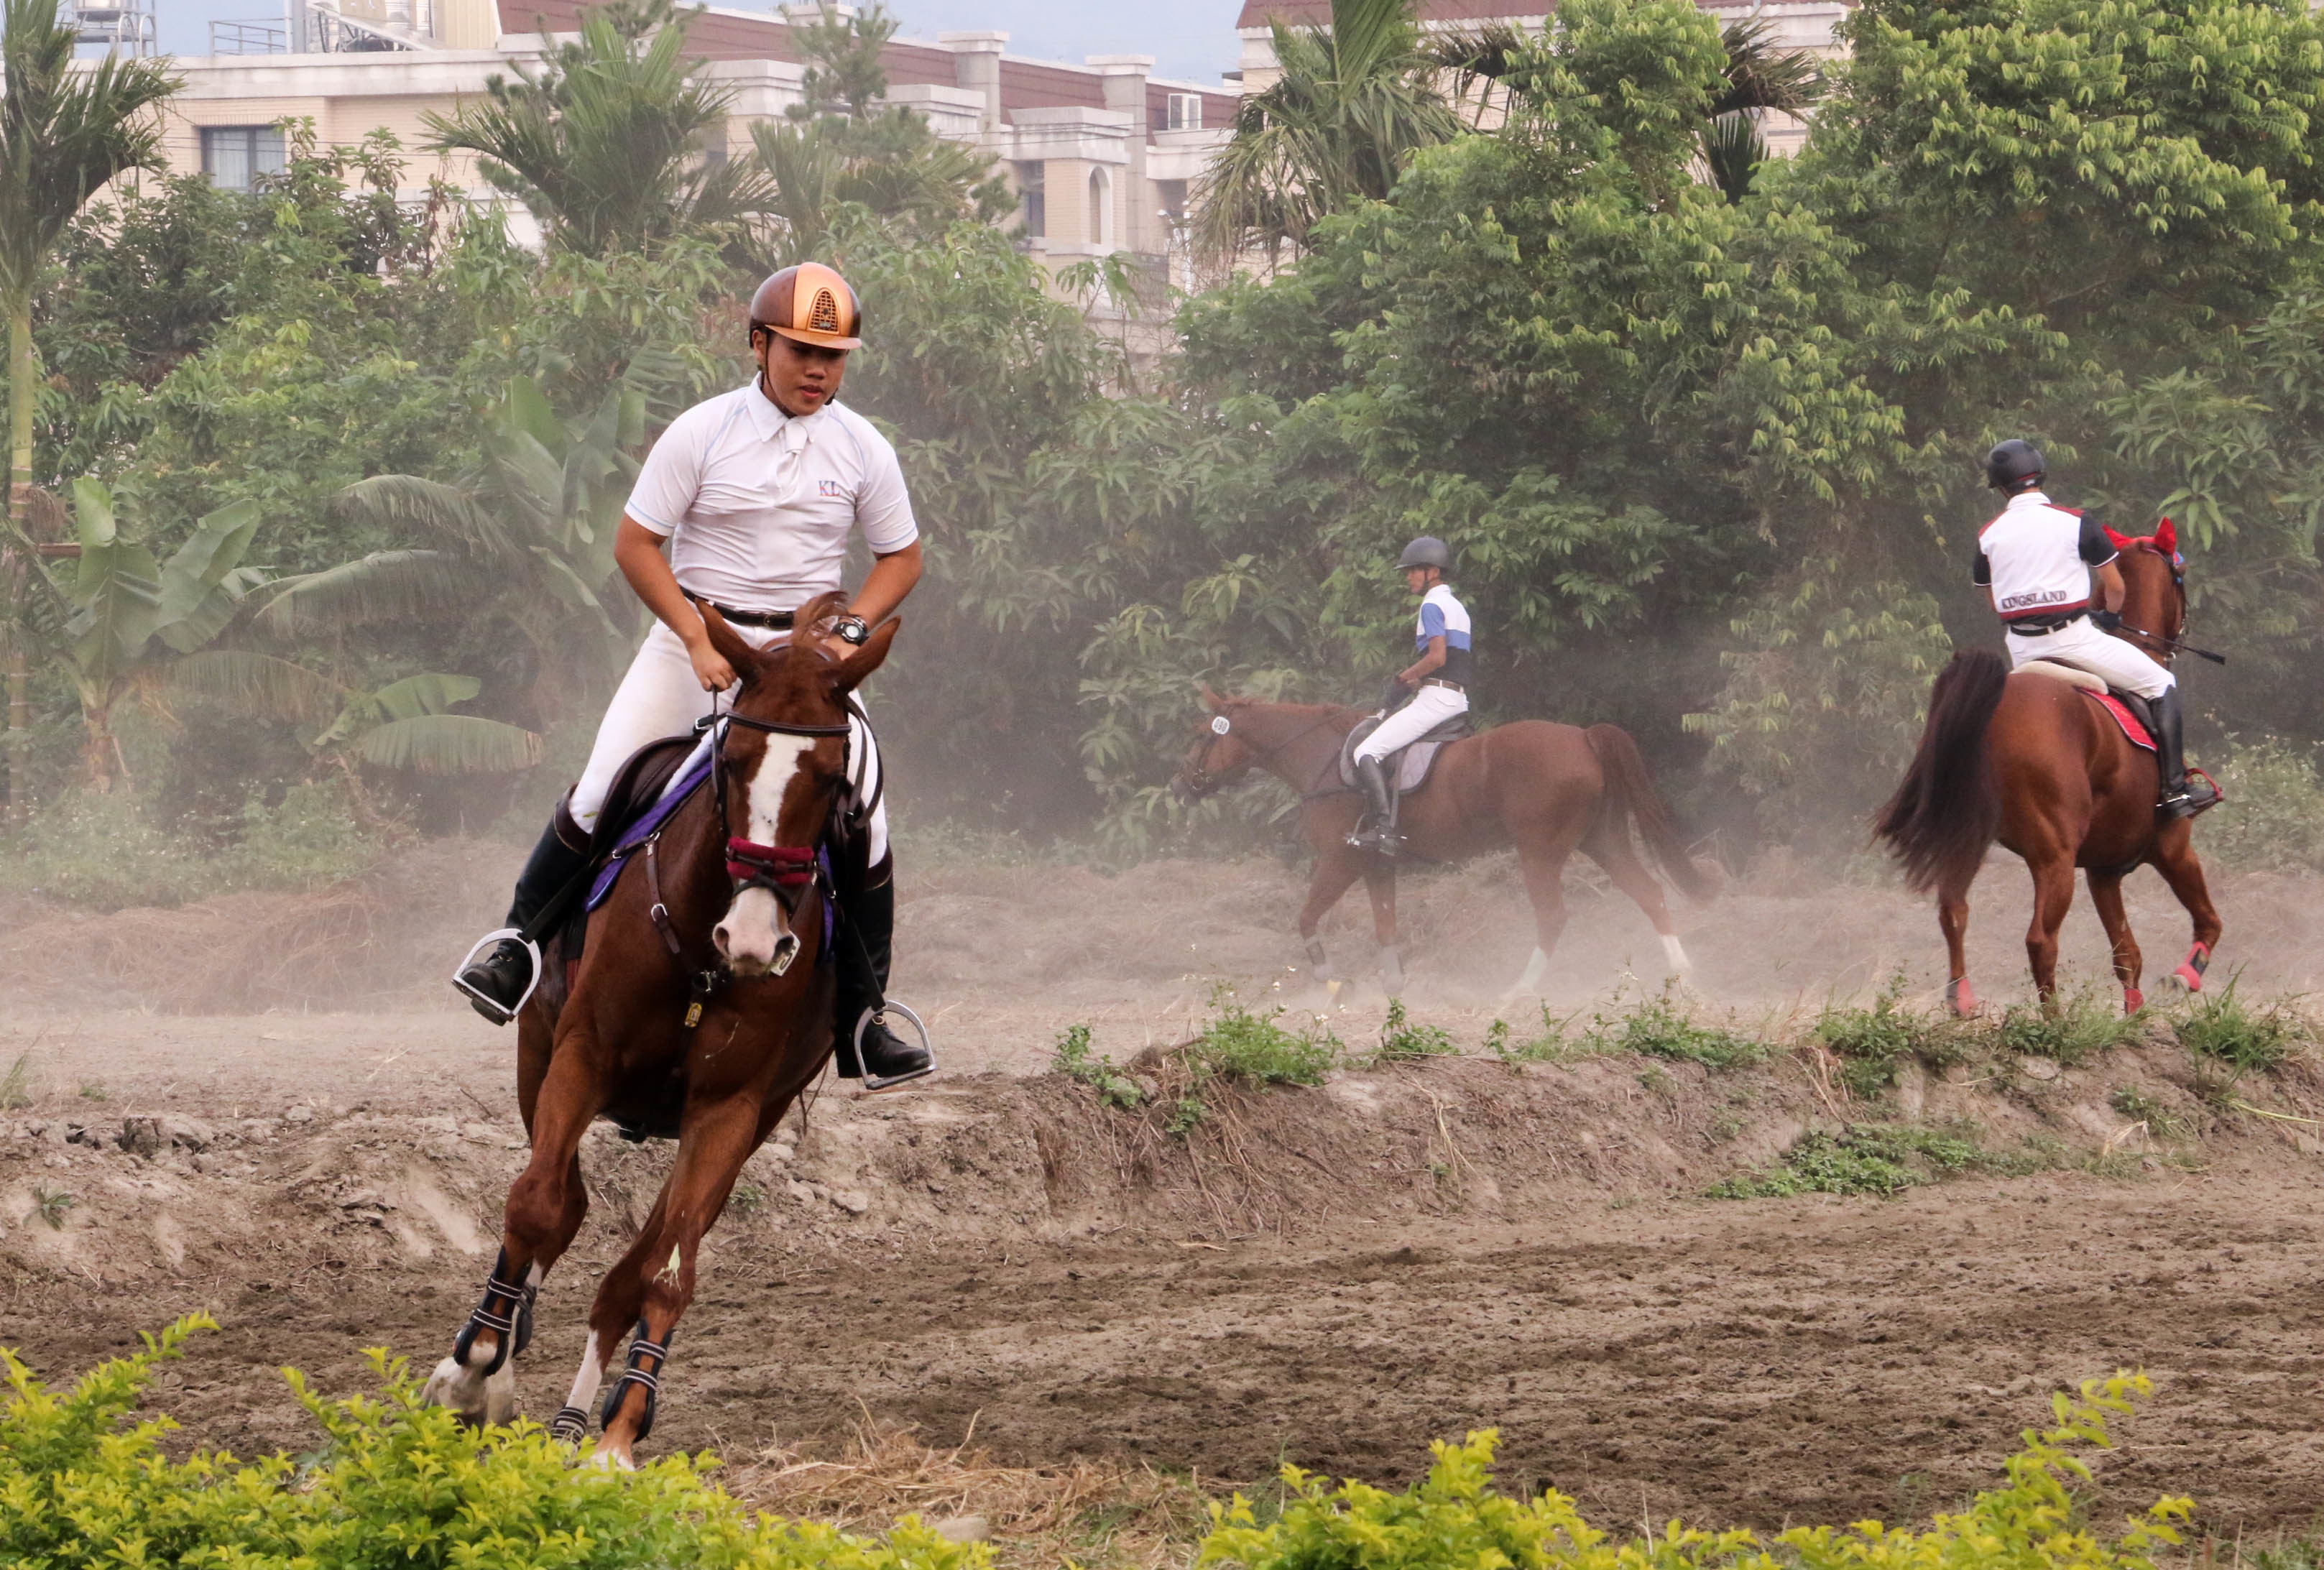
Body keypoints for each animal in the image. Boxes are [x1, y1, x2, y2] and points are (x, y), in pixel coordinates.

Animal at [413, 594, 892, 1467]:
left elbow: (667, 1273)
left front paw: (619, 1437)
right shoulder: (581, 1055)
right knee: (561, 1205)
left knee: (628, 1273)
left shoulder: (730, 1110)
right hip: (538, 1058)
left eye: (832, 779)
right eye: (734, 761)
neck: (703, 948)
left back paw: (578, 1421)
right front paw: (471, 1376)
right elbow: (535, 1207)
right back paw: (500, 1354)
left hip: (746, 1119)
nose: (752, 940)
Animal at [1171, 692, 1720, 998]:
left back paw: (1520, 990)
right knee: (1649, 893)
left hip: (1539, 852)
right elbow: (1386, 925)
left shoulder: (1341, 859)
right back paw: (1683, 976)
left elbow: (1306, 918)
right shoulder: (1376, 864)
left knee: (1553, 916)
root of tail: (1583, 737)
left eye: (1200, 734)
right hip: (1602, 841)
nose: (1179, 788)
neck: (1323, 756)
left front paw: (1332, 980)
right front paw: (1393, 988)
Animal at [1868, 529, 2212, 1017]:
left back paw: (1963, 1001)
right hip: (2054, 857)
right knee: (2040, 940)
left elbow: (2127, 955)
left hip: (1971, 834)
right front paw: (2186, 976)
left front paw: (2133, 1018)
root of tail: (1998, 704)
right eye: (2180, 572)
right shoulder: (2172, 849)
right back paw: (2054, 1022)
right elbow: (2209, 922)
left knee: (1953, 909)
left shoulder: (2104, 871)